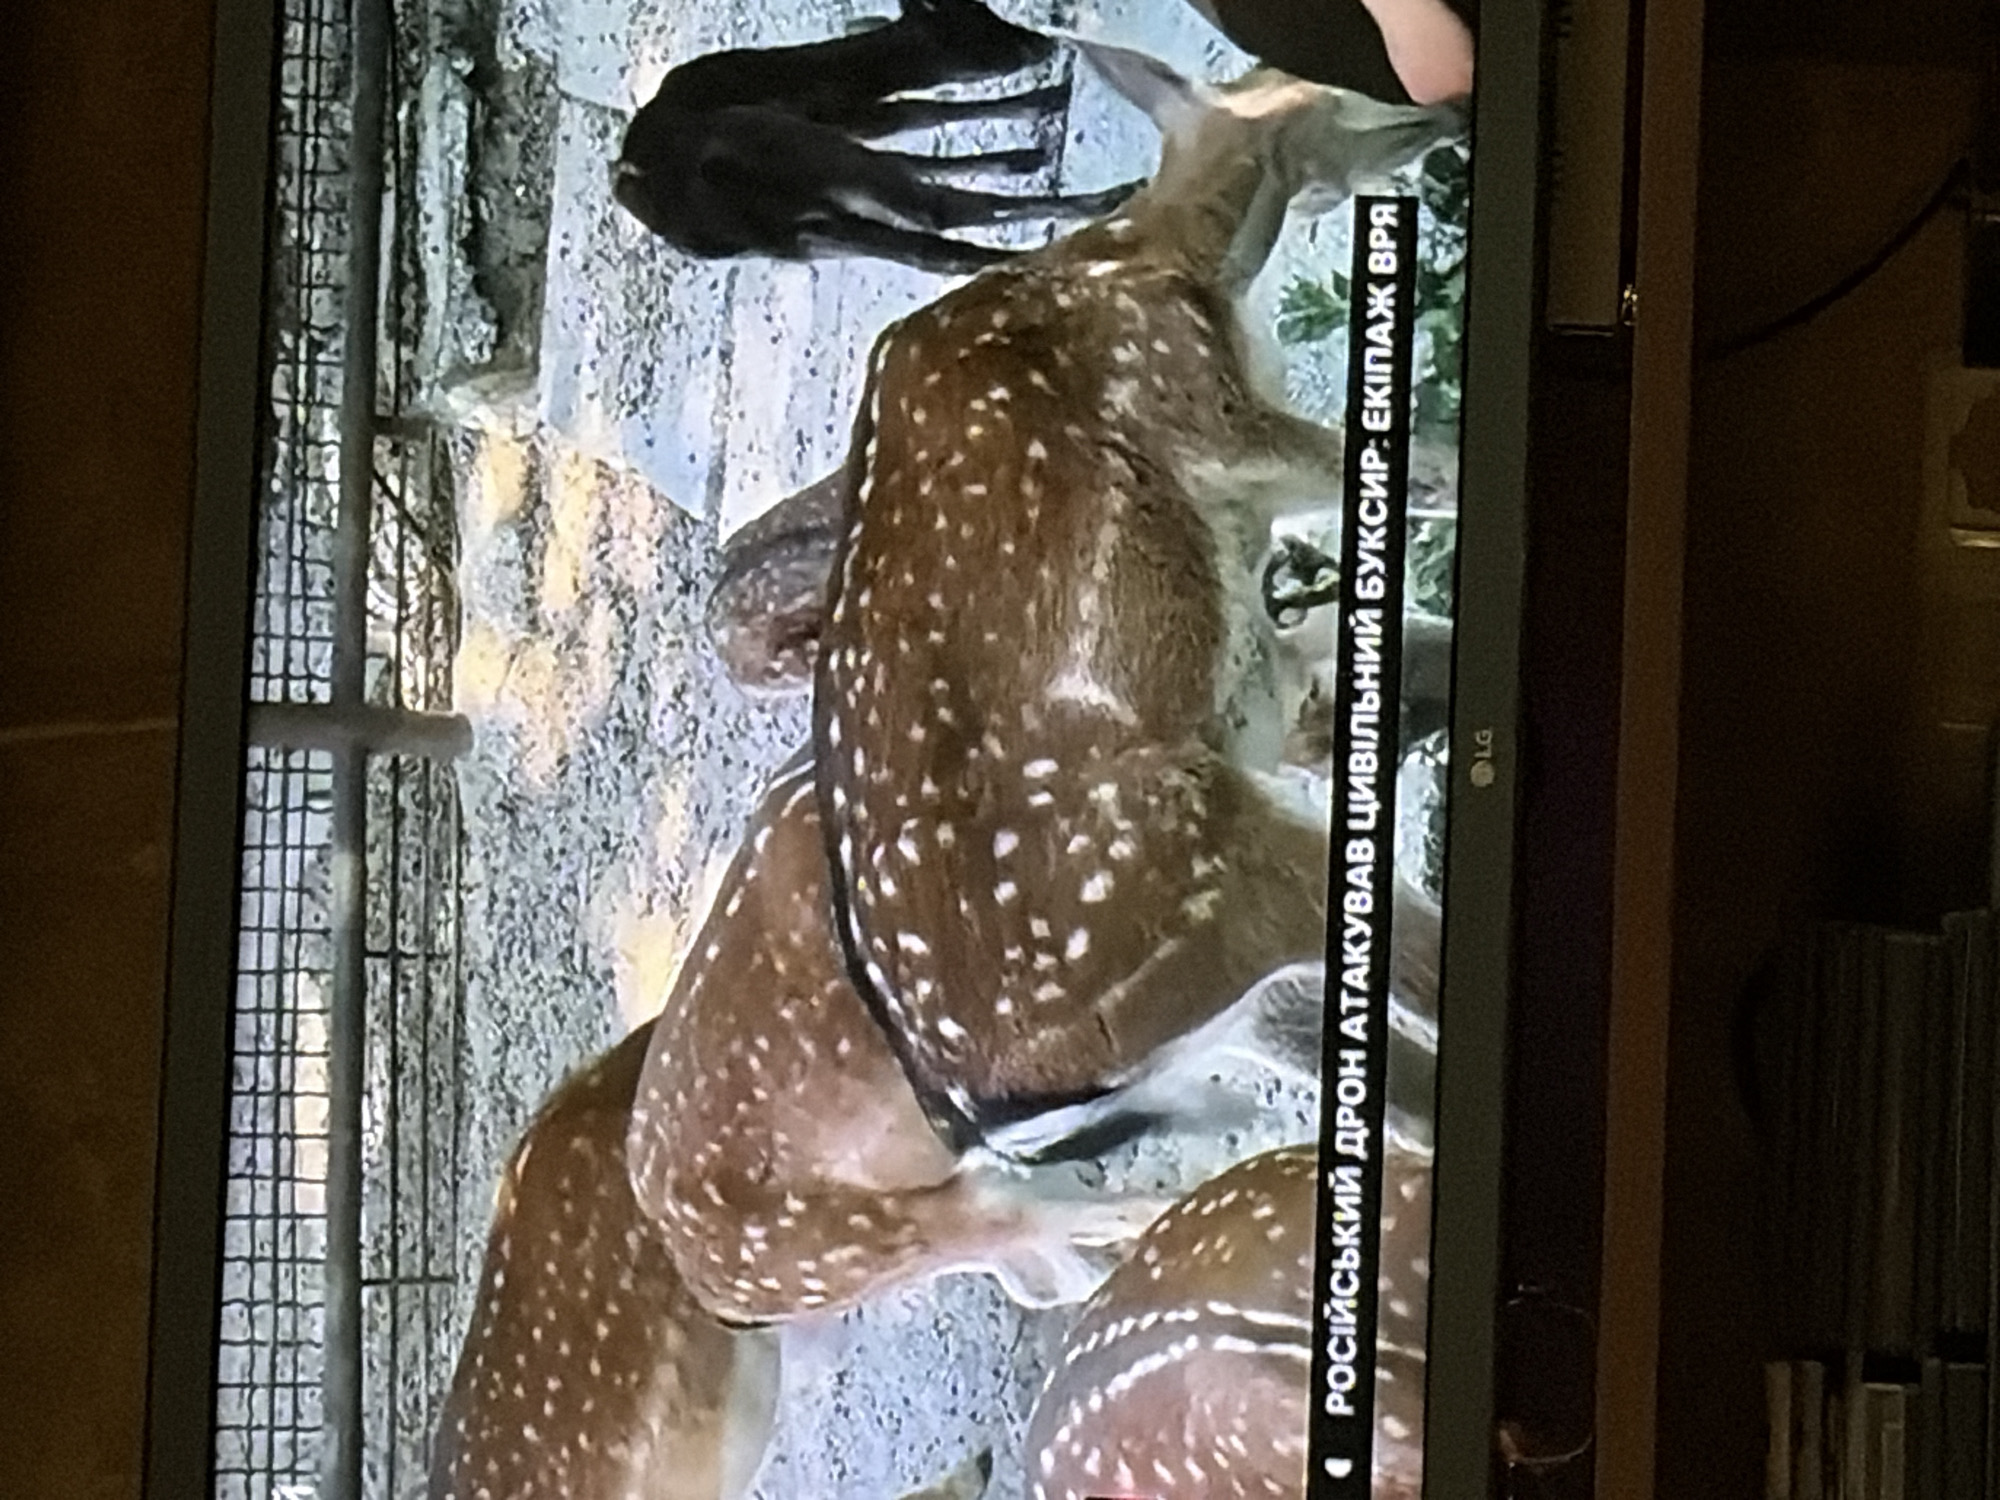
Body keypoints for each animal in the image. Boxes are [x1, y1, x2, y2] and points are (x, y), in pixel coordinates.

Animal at [611, 0, 1139, 275]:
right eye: (978, 20)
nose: (1041, 41)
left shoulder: (848, 136)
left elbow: (915, 143)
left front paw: (1025, 153)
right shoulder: (846, 123)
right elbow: (924, 114)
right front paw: (1047, 107)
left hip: (797, 236)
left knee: (937, 252)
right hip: (796, 153)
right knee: (940, 213)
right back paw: (1108, 206)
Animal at [808, 42, 1463, 1162]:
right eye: (1326, 92)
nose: (1444, 112)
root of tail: (998, 1115)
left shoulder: (1269, 656)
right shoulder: (1213, 411)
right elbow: (1429, 473)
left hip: (1229, 991)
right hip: (1213, 873)